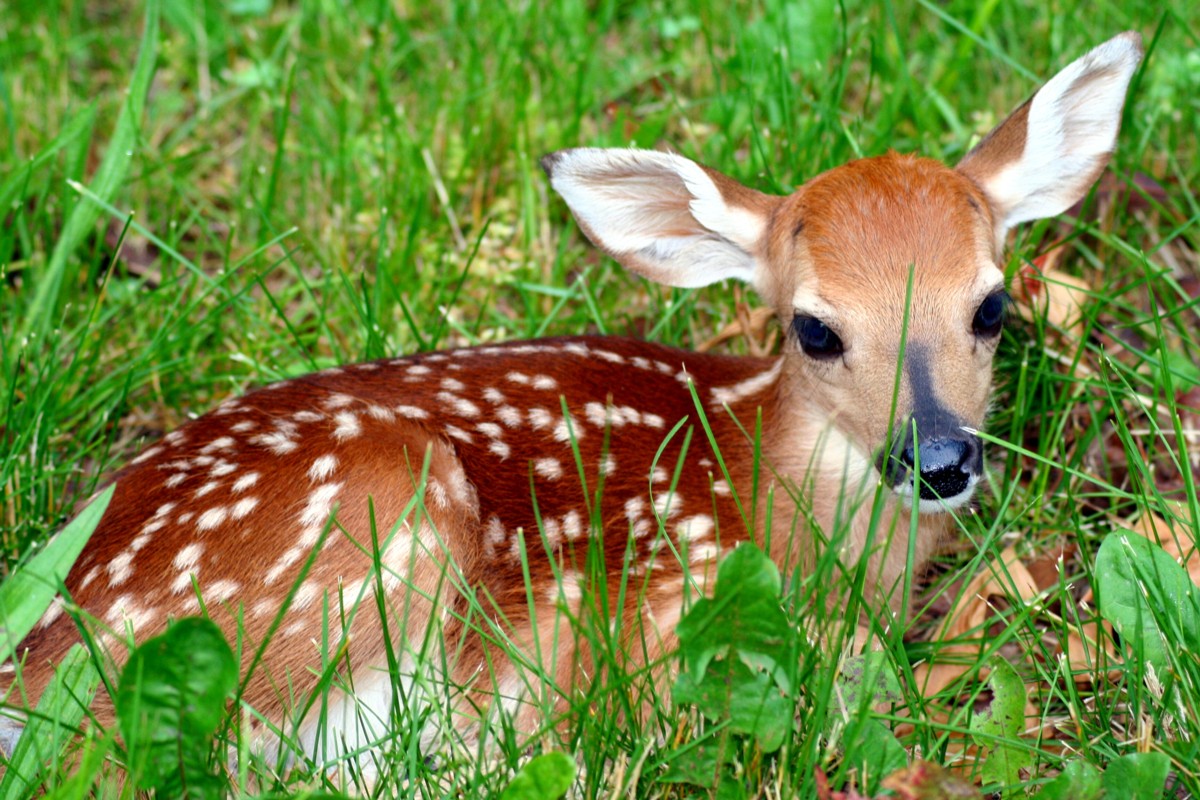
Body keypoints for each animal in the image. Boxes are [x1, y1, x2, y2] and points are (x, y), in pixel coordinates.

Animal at [1, 32, 1142, 766]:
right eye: (815, 329)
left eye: (992, 306)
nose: (938, 460)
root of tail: (30, 662)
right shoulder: (662, 615)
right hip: (359, 522)